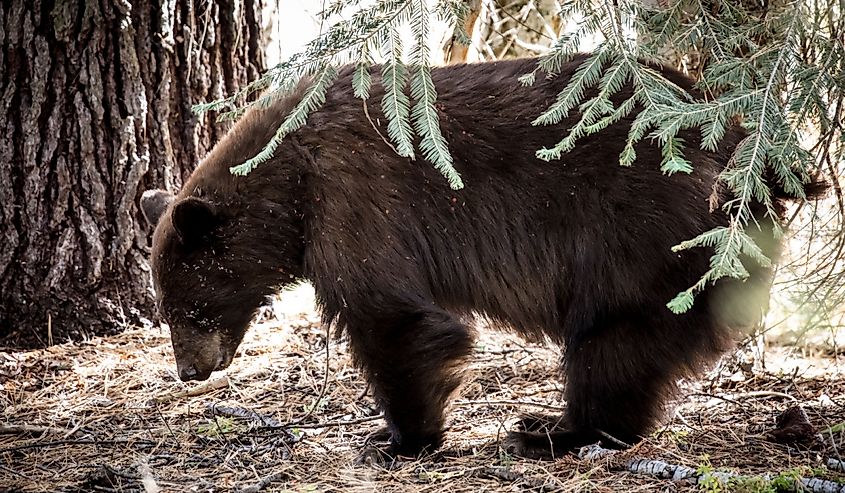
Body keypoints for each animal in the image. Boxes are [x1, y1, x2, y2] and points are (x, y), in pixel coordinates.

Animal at [140, 55, 816, 460]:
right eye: (168, 310)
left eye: (189, 308)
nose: (189, 372)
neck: (288, 178)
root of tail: (758, 160)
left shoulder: (355, 199)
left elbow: (394, 318)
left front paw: (402, 437)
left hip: (644, 236)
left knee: (612, 340)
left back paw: (554, 432)